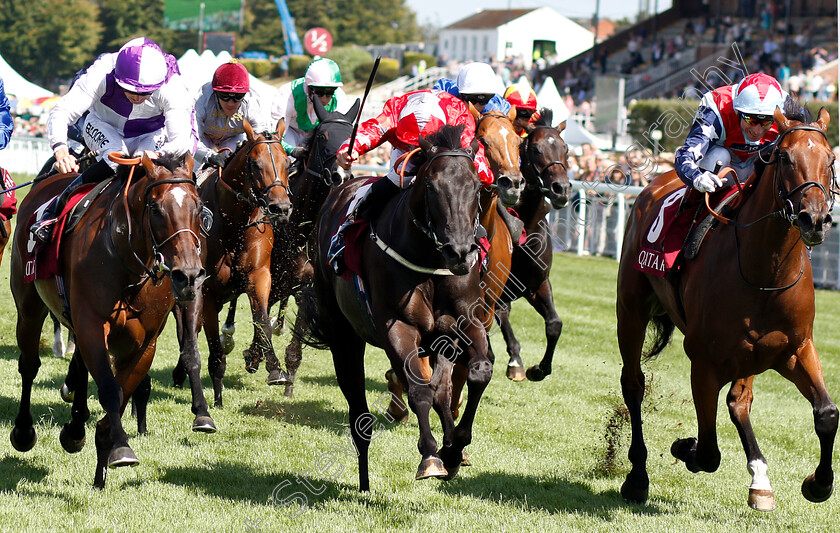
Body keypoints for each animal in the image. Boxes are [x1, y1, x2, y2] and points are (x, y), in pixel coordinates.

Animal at [11, 150, 207, 486]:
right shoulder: (91, 323)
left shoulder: (145, 341)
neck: (127, 260)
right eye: (155, 208)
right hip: (29, 305)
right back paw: (24, 431)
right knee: (29, 365)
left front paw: (105, 450)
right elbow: (109, 388)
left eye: (197, 204)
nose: (189, 275)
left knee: (78, 366)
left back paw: (76, 429)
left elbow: (122, 388)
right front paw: (120, 448)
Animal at [302, 125, 488, 490]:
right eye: (431, 186)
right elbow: (418, 391)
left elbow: (476, 374)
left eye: (476, 186)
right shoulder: (398, 327)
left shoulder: (464, 323)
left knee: (441, 390)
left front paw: (454, 450)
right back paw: (364, 482)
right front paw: (431, 457)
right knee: (358, 411)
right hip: (344, 336)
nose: (460, 252)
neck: (430, 262)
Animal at [496, 109, 576, 382]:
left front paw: (539, 369)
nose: (561, 189)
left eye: (566, 149)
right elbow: (501, 316)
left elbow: (554, 324)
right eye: (536, 149)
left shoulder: (538, 283)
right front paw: (516, 363)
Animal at [612, 103, 836, 508]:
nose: (816, 219)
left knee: (739, 401)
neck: (765, 271)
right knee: (633, 384)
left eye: (830, 159)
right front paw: (684, 446)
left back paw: (760, 480)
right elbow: (708, 452)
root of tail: (655, 182)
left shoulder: (796, 348)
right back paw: (637, 478)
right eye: (784, 157)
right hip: (631, 311)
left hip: (752, 354)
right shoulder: (703, 360)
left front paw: (818, 484)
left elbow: (827, 413)